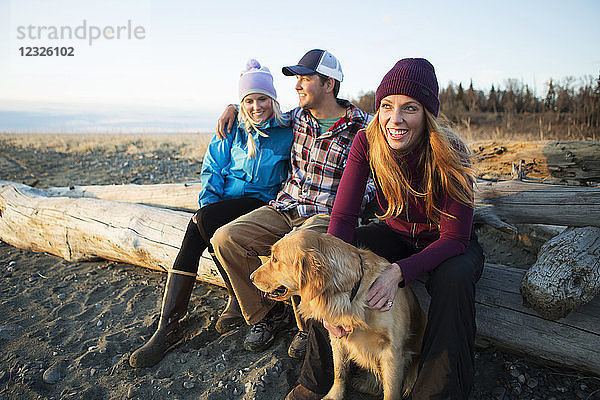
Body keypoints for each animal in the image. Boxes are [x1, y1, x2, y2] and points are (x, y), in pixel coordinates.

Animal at [248, 228, 426, 400]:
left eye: (275, 260)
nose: (250, 277)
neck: (350, 294)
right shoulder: (337, 337)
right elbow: (339, 372)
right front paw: (334, 395)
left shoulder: (392, 350)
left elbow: (391, 390)